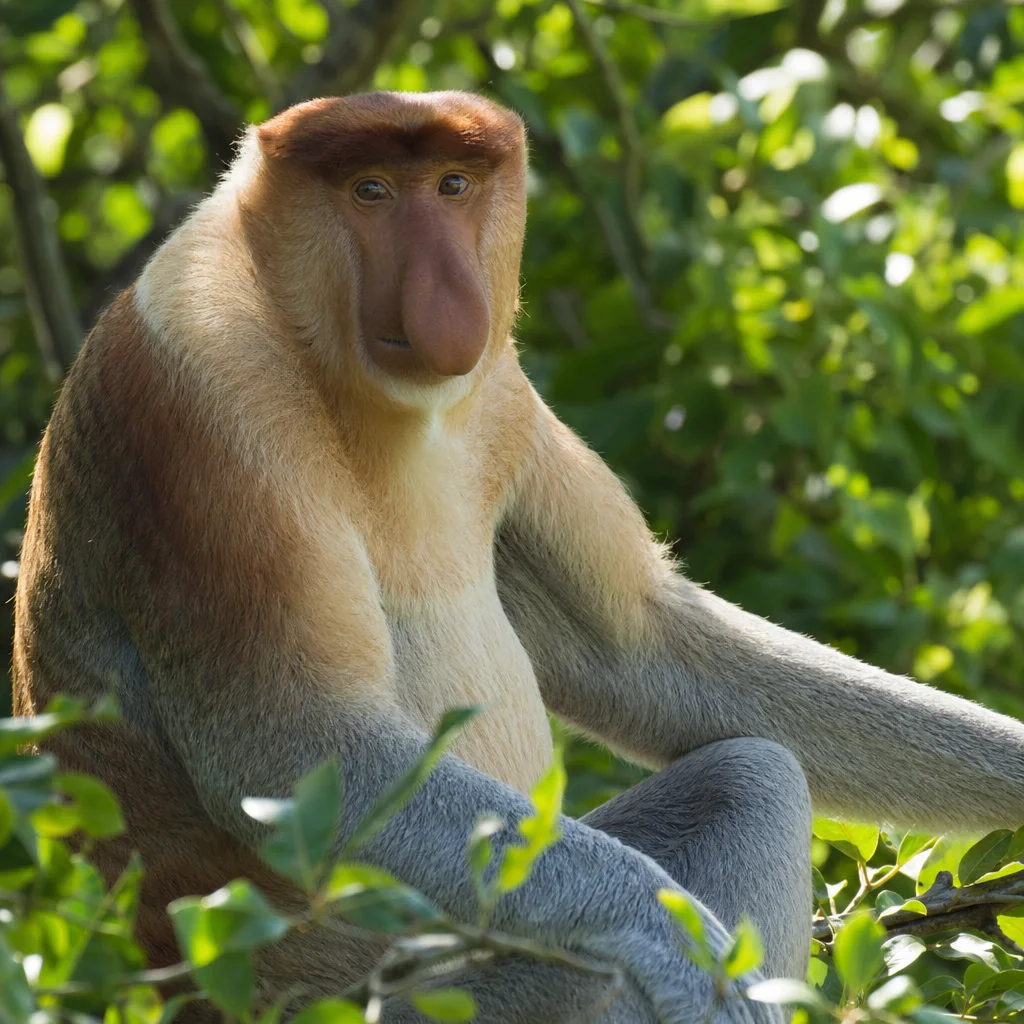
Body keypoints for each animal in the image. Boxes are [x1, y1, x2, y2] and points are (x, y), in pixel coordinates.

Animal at [11, 89, 1024, 1023]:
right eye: (370, 192)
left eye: (453, 186)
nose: (450, 298)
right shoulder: (201, 406)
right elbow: (295, 754)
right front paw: (681, 951)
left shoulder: (500, 396)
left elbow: (638, 651)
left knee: (748, 777)